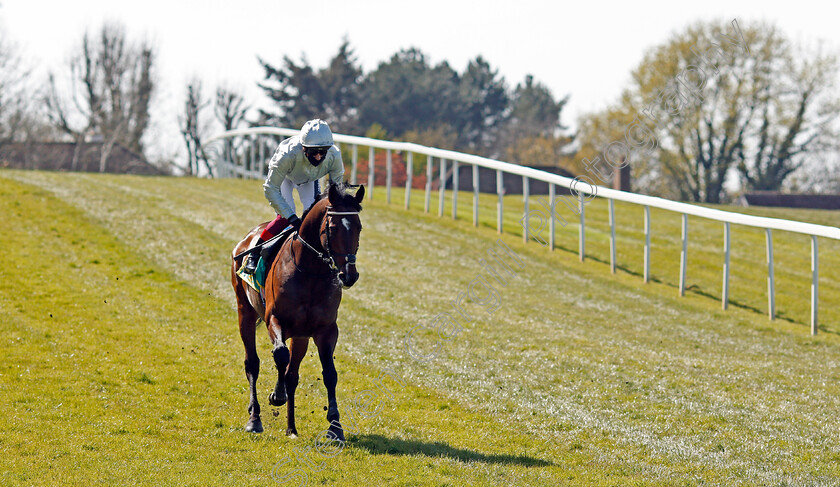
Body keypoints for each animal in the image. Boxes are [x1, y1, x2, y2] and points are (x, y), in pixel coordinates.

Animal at [230, 181, 364, 440]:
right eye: (333, 227)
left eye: (359, 228)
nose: (349, 275)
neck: (310, 271)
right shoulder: (274, 319)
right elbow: (280, 355)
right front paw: (276, 395)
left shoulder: (325, 329)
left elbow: (329, 373)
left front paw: (335, 426)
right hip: (245, 312)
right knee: (252, 363)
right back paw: (255, 418)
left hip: (301, 335)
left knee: (292, 374)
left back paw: (291, 428)